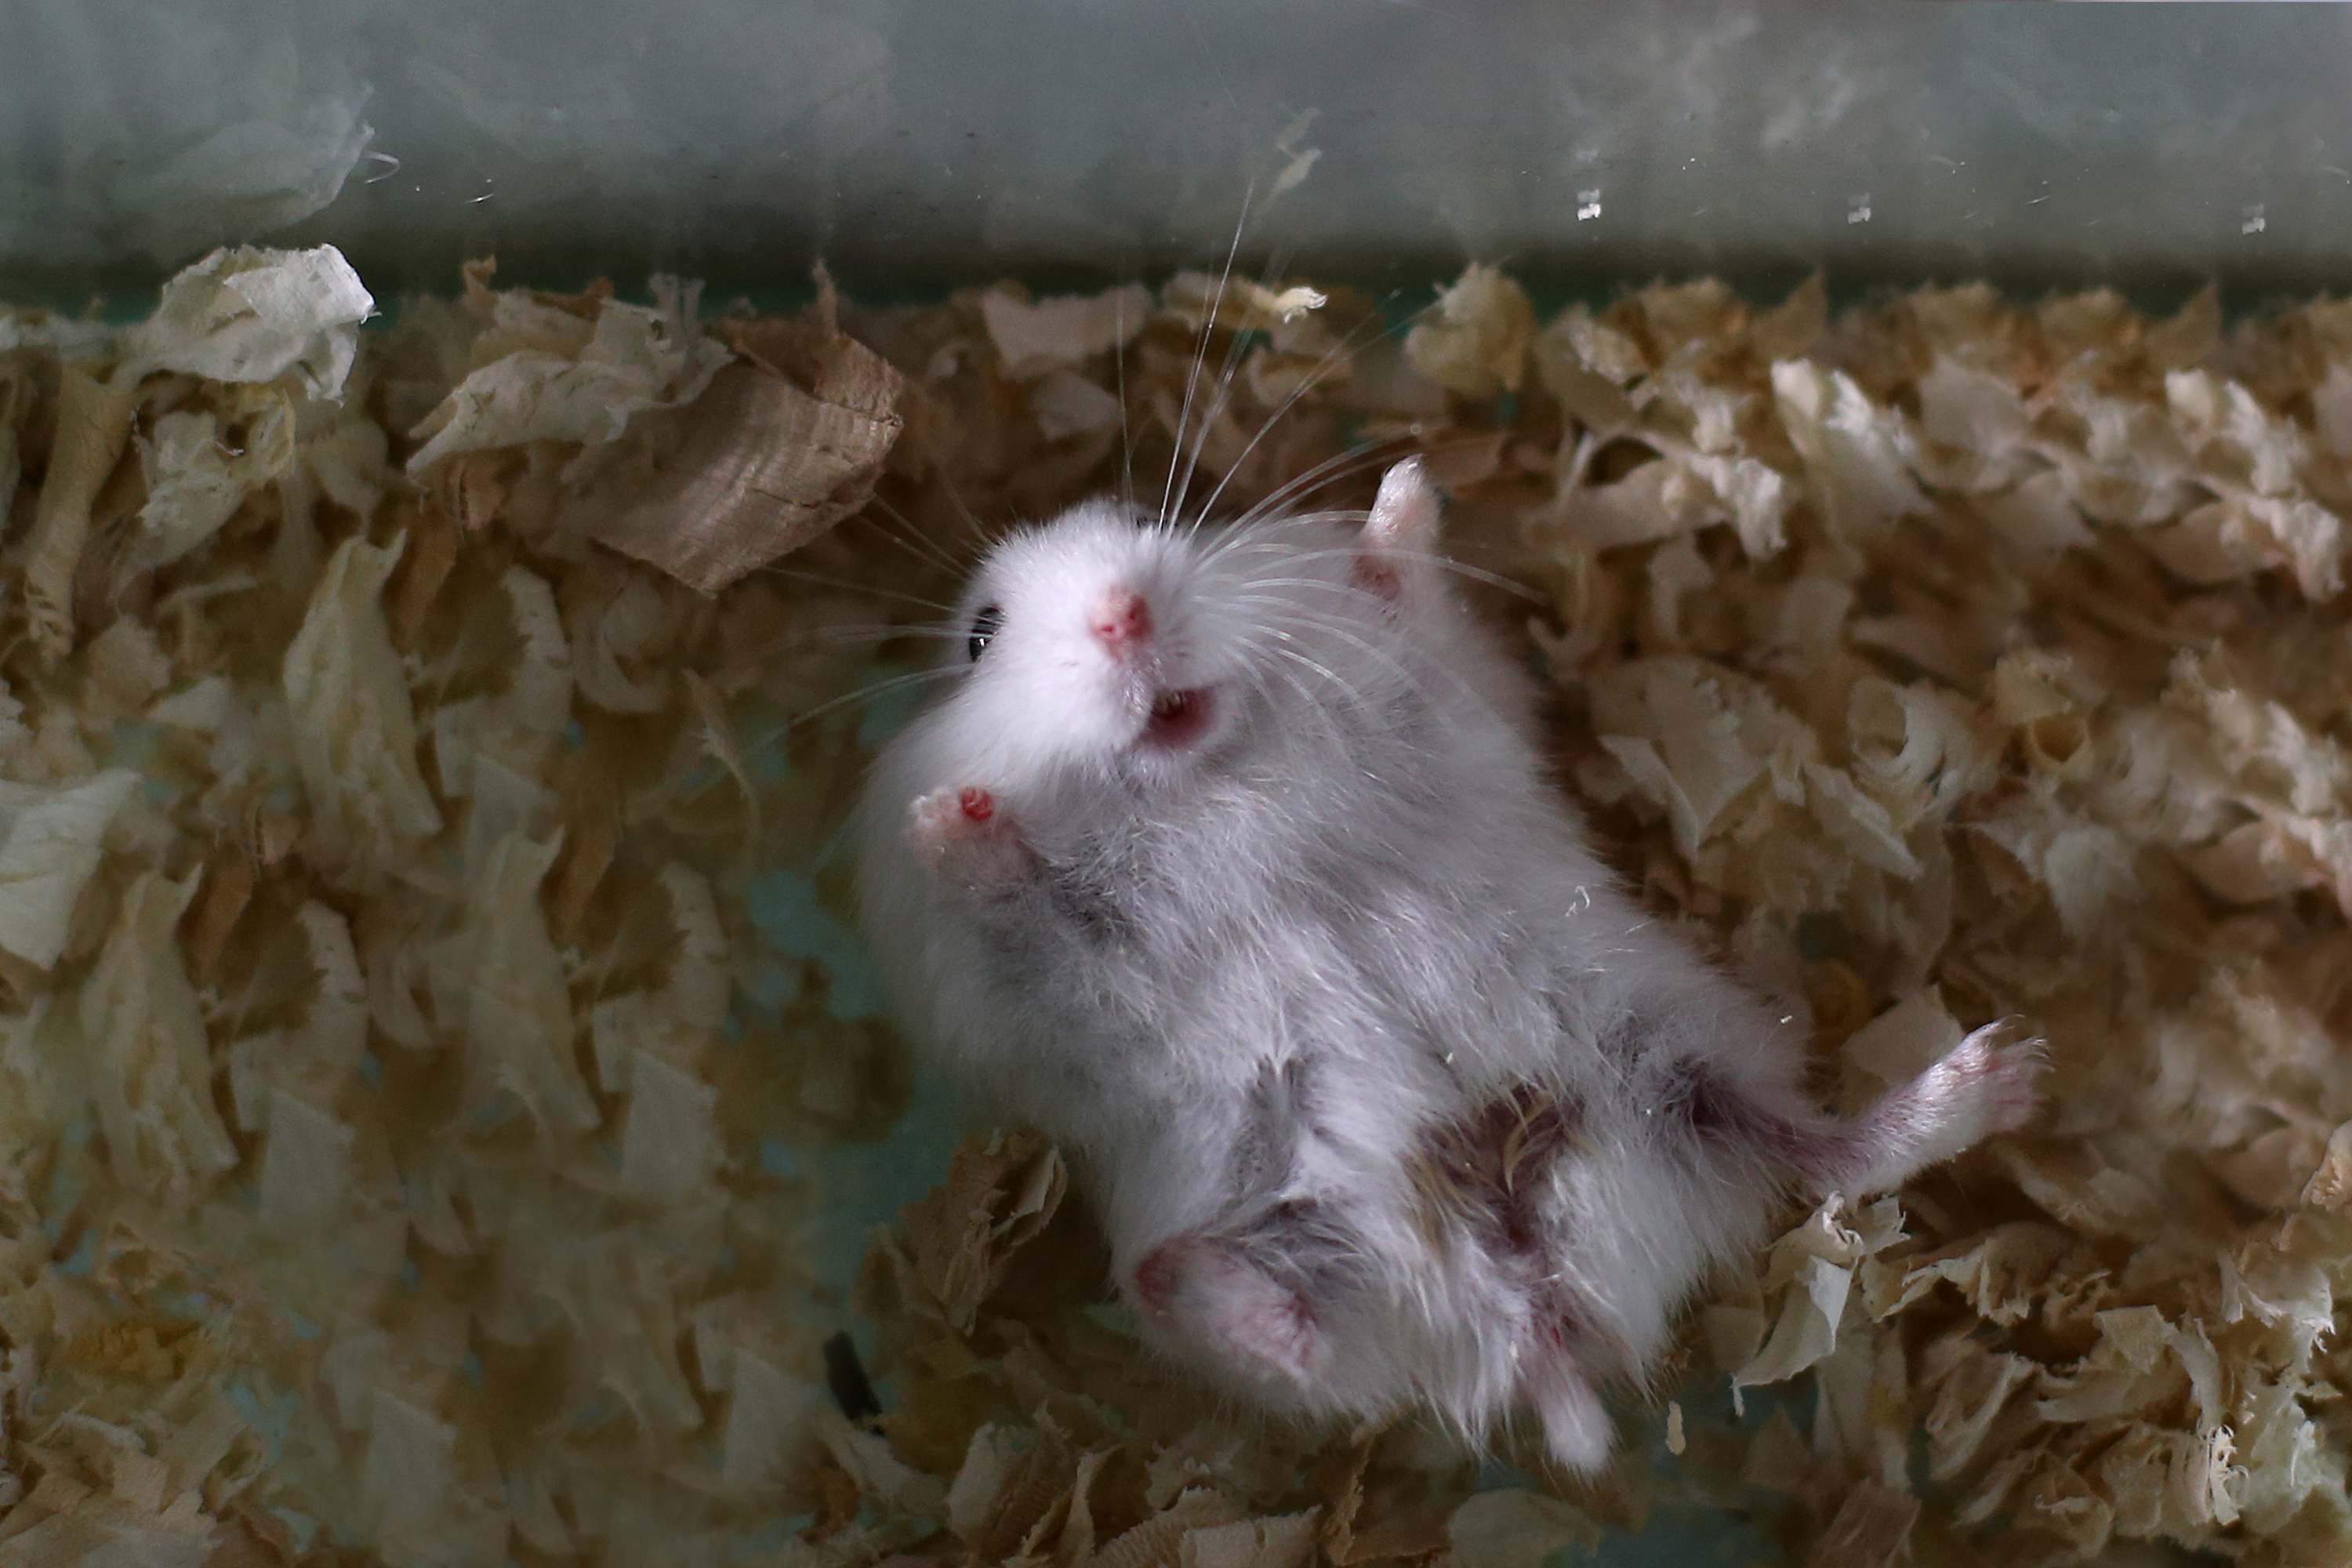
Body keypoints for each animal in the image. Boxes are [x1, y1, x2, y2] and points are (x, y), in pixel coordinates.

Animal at [853, 458, 2041, 1473]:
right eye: (980, 634)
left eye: (1153, 519)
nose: (1123, 615)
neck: (1208, 778)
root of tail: (1532, 1300)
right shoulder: (1011, 979)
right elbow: (1022, 907)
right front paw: (952, 816)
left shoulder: (1437, 691)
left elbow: (1402, 601)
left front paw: (1401, 492)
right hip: (1272, 1207)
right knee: (1266, 1326)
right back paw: (1217, 1287)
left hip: (1679, 1054)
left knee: (1828, 1153)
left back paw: (2002, 1072)